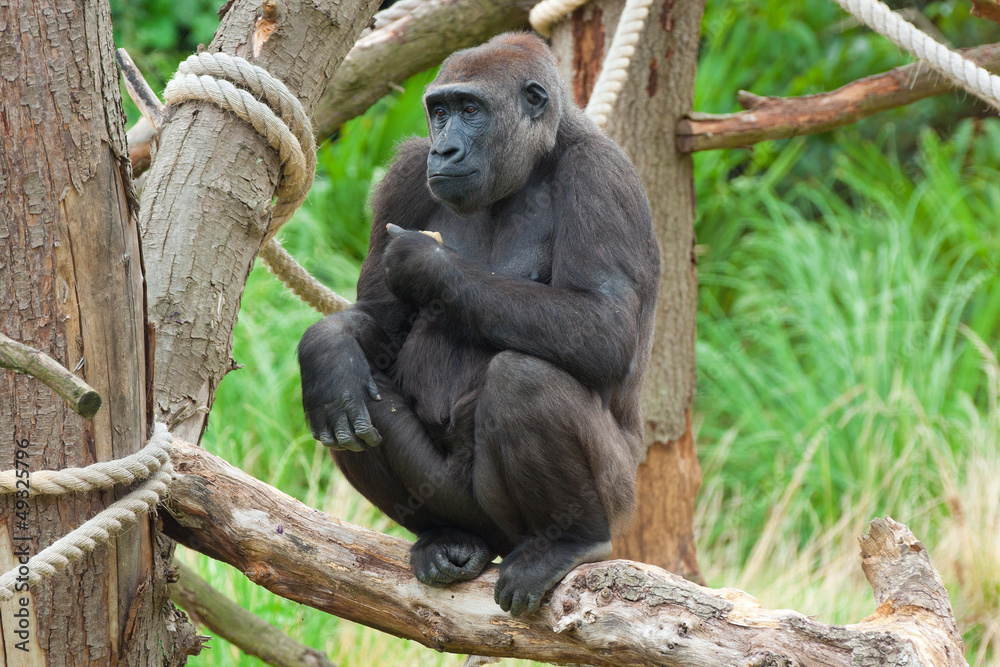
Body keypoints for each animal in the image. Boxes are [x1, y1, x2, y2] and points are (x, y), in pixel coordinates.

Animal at [298, 32, 659, 617]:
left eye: (471, 110)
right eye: (439, 112)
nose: (444, 149)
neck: (539, 155)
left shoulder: (602, 174)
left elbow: (604, 325)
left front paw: (427, 264)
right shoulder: (406, 171)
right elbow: (379, 320)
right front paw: (327, 347)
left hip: (619, 499)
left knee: (524, 380)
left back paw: (571, 541)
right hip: (465, 511)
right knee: (353, 402)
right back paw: (445, 536)